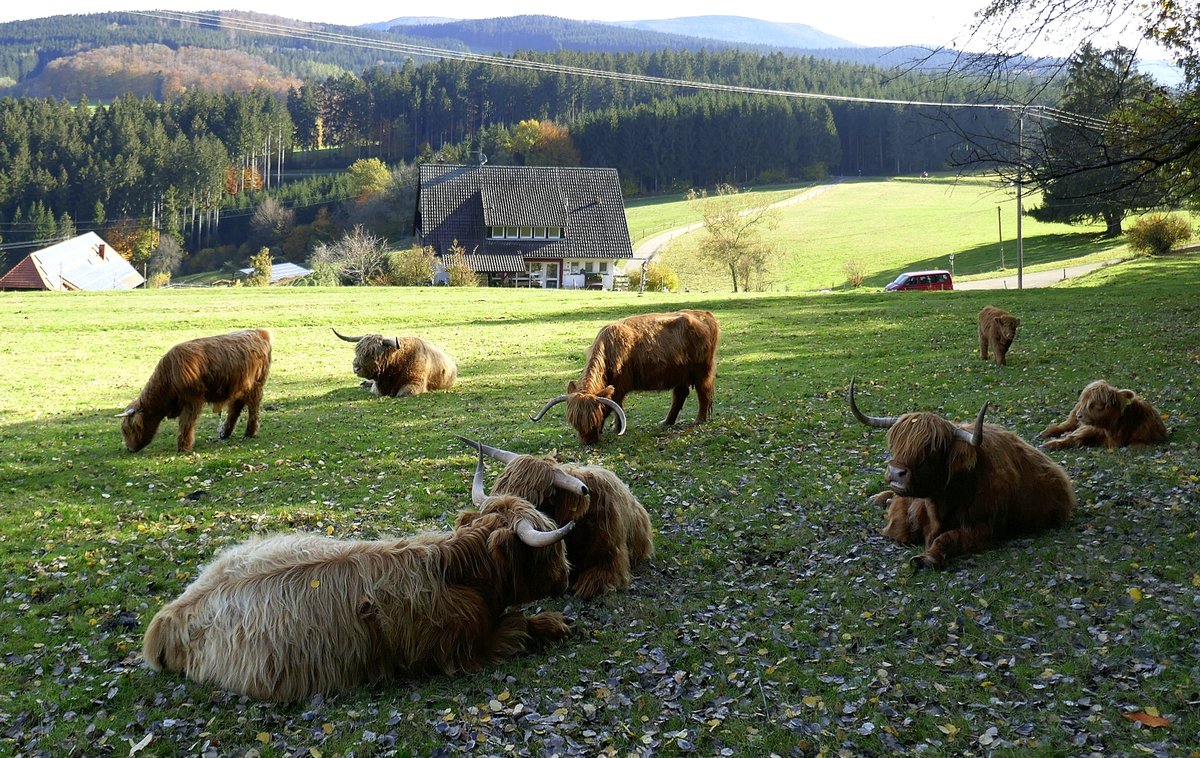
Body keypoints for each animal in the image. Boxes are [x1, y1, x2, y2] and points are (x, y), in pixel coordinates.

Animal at [535, 309, 720, 443]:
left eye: (593, 419)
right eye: (575, 422)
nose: (588, 442)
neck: (608, 350)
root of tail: (704, 315)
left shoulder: (620, 386)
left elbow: (616, 407)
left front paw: (616, 428)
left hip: (702, 371)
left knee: (703, 393)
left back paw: (699, 420)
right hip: (679, 374)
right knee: (680, 395)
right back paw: (666, 422)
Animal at [849, 379, 1075, 568]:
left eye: (932, 450)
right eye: (896, 445)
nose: (896, 473)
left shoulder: (983, 528)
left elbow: (947, 538)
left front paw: (926, 558)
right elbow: (898, 526)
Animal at [1036, 379, 1166, 450]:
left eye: (1097, 404)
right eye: (1084, 401)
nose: (1079, 415)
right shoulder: (1089, 428)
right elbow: (1072, 437)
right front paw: (1048, 445)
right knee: (1065, 425)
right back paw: (1047, 432)